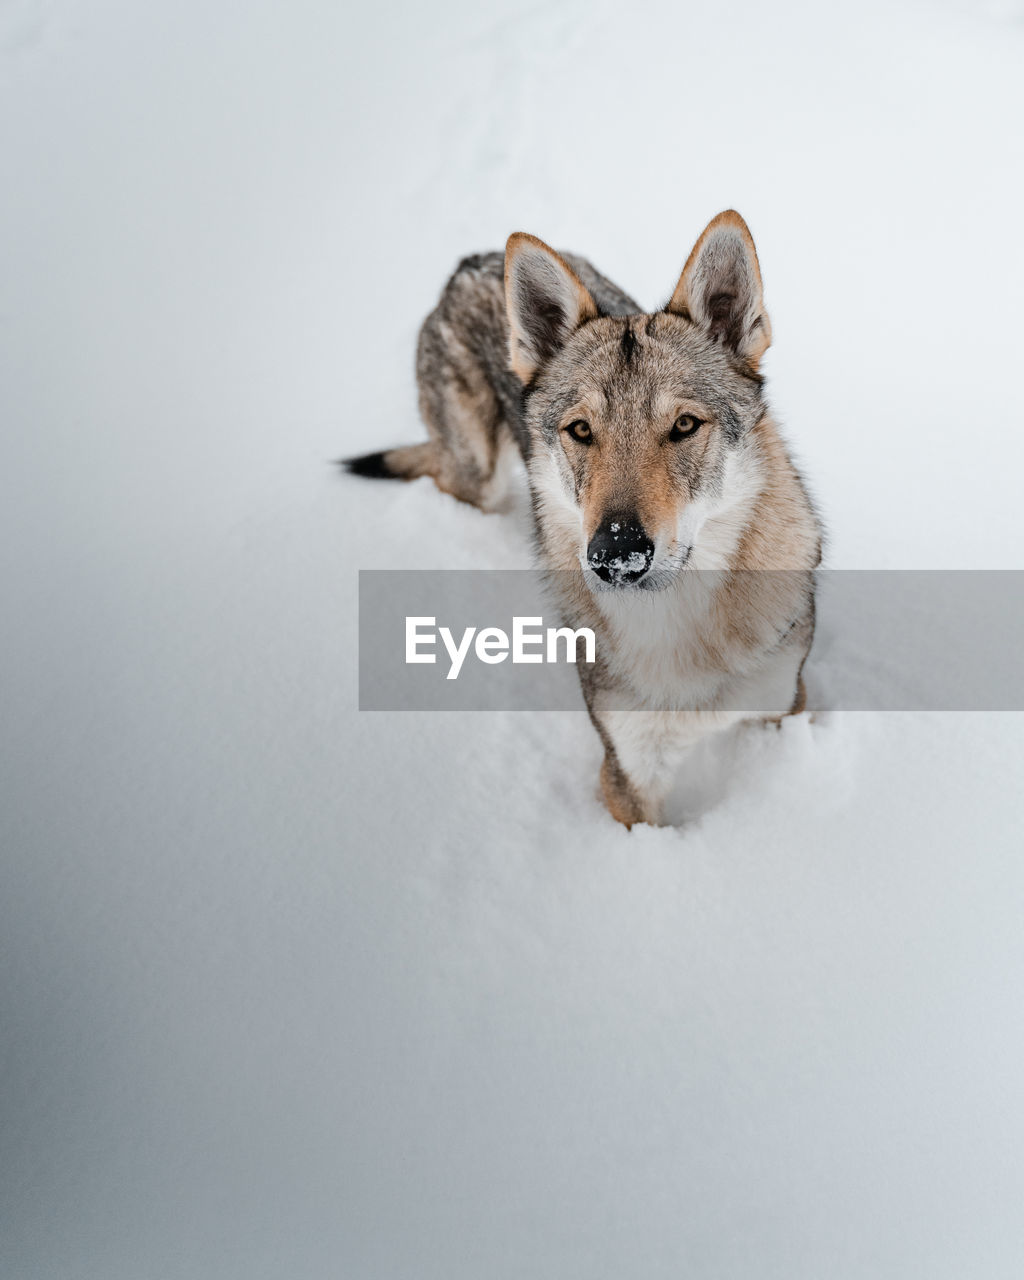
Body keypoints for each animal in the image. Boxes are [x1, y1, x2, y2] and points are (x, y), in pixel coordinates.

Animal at [348, 209, 819, 829]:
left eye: (685, 425)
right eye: (580, 430)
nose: (615, 554)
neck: (683, 633)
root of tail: (468, 263)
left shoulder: (783, 709)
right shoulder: (628, 773)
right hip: (475, 475)